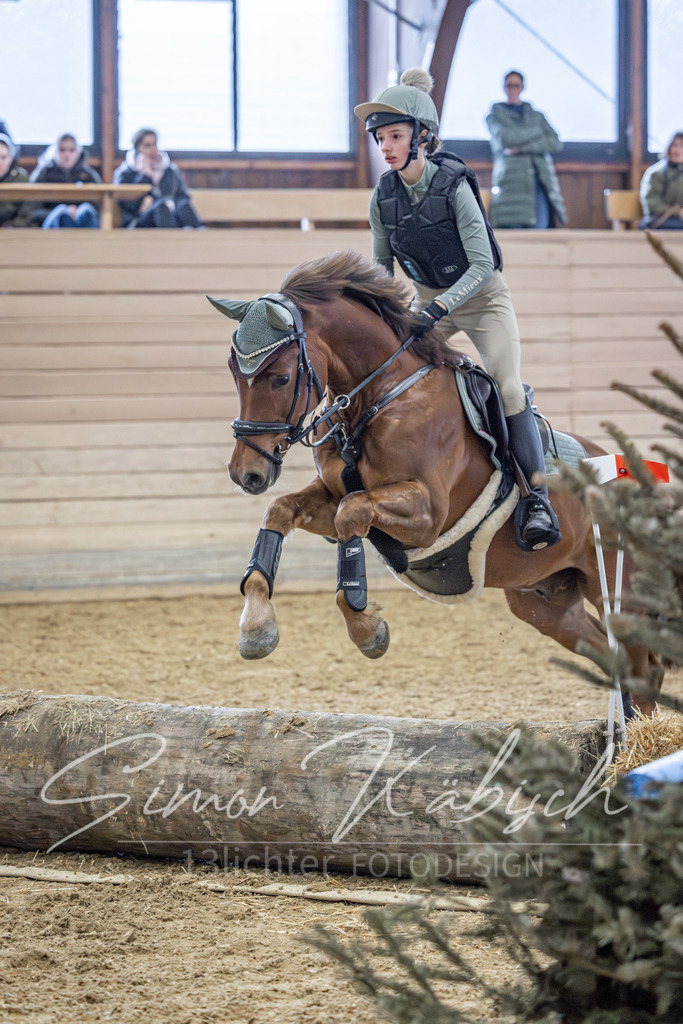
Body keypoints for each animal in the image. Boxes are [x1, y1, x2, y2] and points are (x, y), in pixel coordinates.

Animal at [209, 250, 661, 715]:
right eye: (234, 372)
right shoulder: (334, 494)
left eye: (280, 377)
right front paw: (256, 627)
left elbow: (350, 515)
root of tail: (643, 483)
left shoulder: (427, 514)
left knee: (644, 668)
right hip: (546, 600)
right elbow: (282, 511)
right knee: (610, 654)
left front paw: (367, 629)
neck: (378, 398)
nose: (247, 473)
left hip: (619, 592)